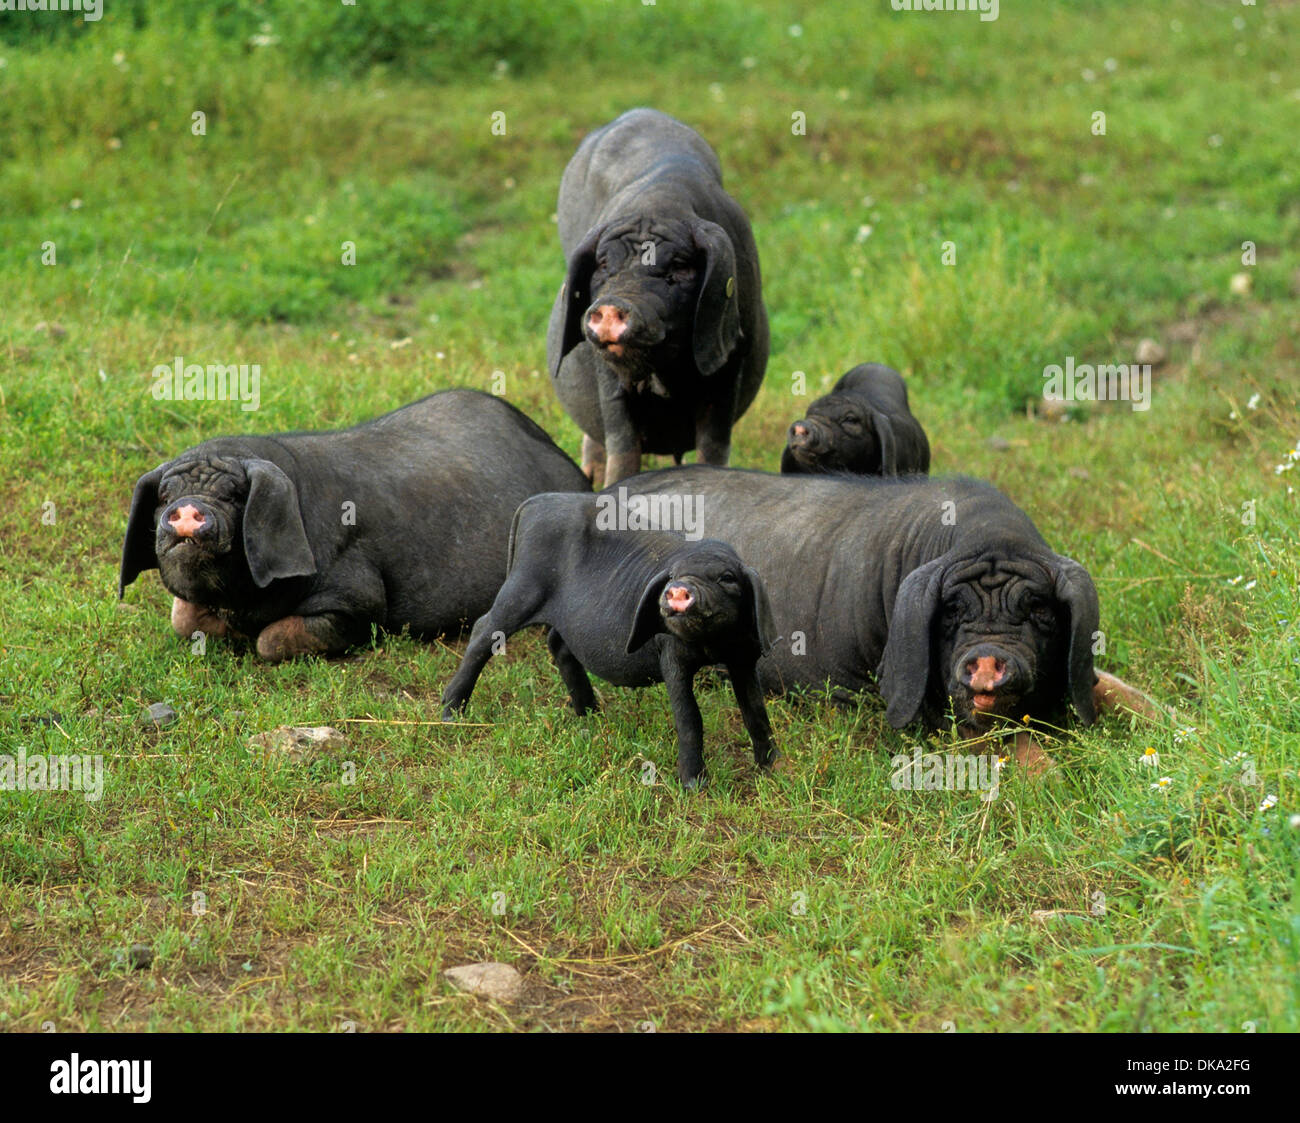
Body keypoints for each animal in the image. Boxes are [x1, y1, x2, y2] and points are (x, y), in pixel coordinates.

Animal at [119, 392, 587, 662]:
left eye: (235, 494)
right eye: (165, 494)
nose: (187, 508)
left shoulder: (359, 598)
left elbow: (270, 641)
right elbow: (182, 618)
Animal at [441, 491, 774, 790]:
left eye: (727, 577)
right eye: (672, 576)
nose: (678, 588)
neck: (712, 644)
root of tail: (535, 502)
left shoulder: (744, 657)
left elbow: (755, 710)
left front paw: (771, 768)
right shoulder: (670, 653)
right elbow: (690, 717)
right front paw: (695, 787)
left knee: (557, 642)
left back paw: (591, 713)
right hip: (522, 588)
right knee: (483, 631)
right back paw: (450, 715)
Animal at [543, 108, 764, 486]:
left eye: (678, 266)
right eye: (604, 263)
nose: (613, 306)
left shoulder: (731, 356)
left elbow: (713, 446)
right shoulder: (607, 376)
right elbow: (622, 447)